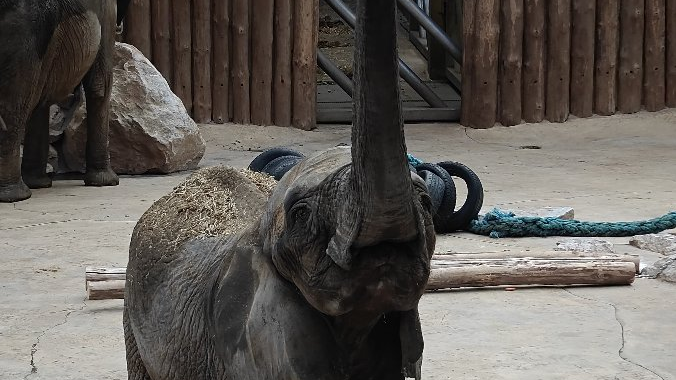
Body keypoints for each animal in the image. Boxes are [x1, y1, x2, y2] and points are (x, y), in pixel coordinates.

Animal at [0, 0, 129, 202]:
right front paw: (107, 182)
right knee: (15, 102)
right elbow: (101, 85)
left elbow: (41, 99)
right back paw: (16, 196)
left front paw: (39, 184)